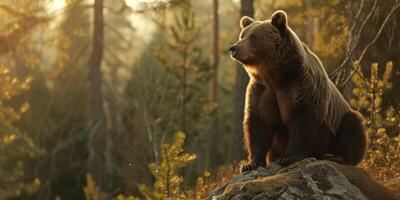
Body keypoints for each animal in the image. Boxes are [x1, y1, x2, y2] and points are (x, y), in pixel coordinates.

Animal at [230, 10, 368, 173]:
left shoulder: (300, 85)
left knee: (352, 125)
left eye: (253, 37)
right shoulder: (261, 90)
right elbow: (259, 123)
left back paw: (337, 156)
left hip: (338, 123)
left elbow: (302, 120)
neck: (275, 75)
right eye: (242, 35)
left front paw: (288, 157)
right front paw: (251, 163)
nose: (233, 48)